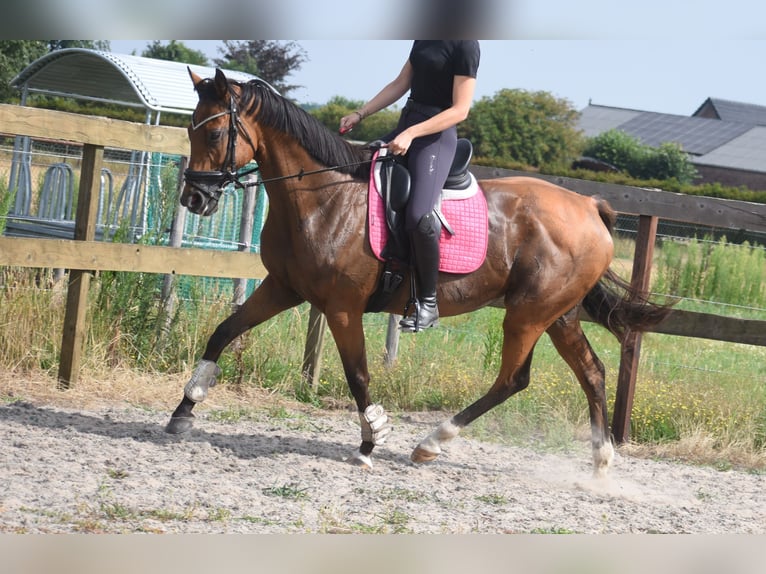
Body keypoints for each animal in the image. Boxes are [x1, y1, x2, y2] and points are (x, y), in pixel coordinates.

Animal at [165, 68, 671, 477]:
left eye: (215, 134)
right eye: (190, 129)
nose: (193, 199)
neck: (323, 197)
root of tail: (588, 205)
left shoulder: (342, 307)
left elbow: (358, 374)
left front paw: (370, 442)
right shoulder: (284, 287)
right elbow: (224, 330)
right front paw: (184, 409)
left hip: (528, 314)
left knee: (514, 379)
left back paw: (432, 442)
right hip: (558, 314)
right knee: (592, 372)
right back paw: (601, 462)